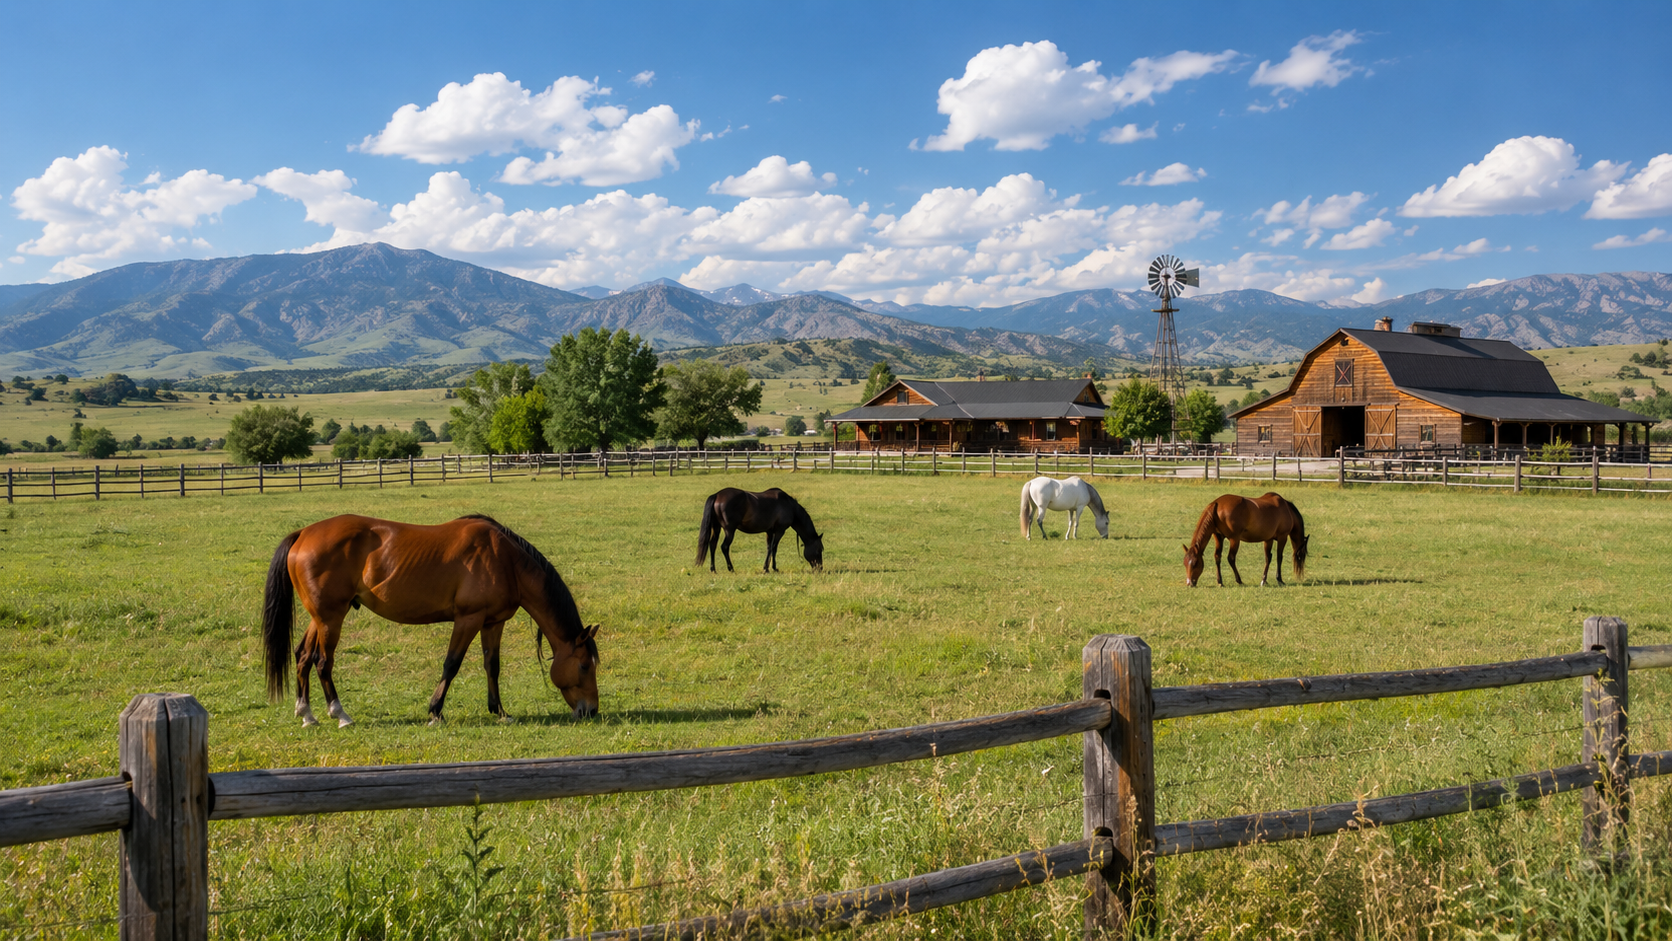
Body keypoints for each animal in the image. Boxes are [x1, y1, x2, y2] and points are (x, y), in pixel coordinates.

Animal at [262, 514, 600, 727]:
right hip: (331, 618)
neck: (505, 560)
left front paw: (500, 711)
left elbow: (492, 665)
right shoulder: (468, 619)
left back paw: (307, 713)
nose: (591, 711)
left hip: (320, 617)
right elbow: (452, 664)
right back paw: (340, 714)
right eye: (585, 666)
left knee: (303, 656)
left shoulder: (492, 623)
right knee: (322, 661)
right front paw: (435, 712)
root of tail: (303, 534)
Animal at [695, 487, 824, 573]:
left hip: (716, 528)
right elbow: (774, 548)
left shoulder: (769, 531)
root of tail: (717, 495)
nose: (820, 568)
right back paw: (731, 568)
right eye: (819, 550)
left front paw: (767, 567)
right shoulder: (780, 531)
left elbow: (769, 548)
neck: (790, 506)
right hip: (729, 530)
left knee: (712, 545)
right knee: (724, 547)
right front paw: (772, 568)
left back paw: (713, 569)